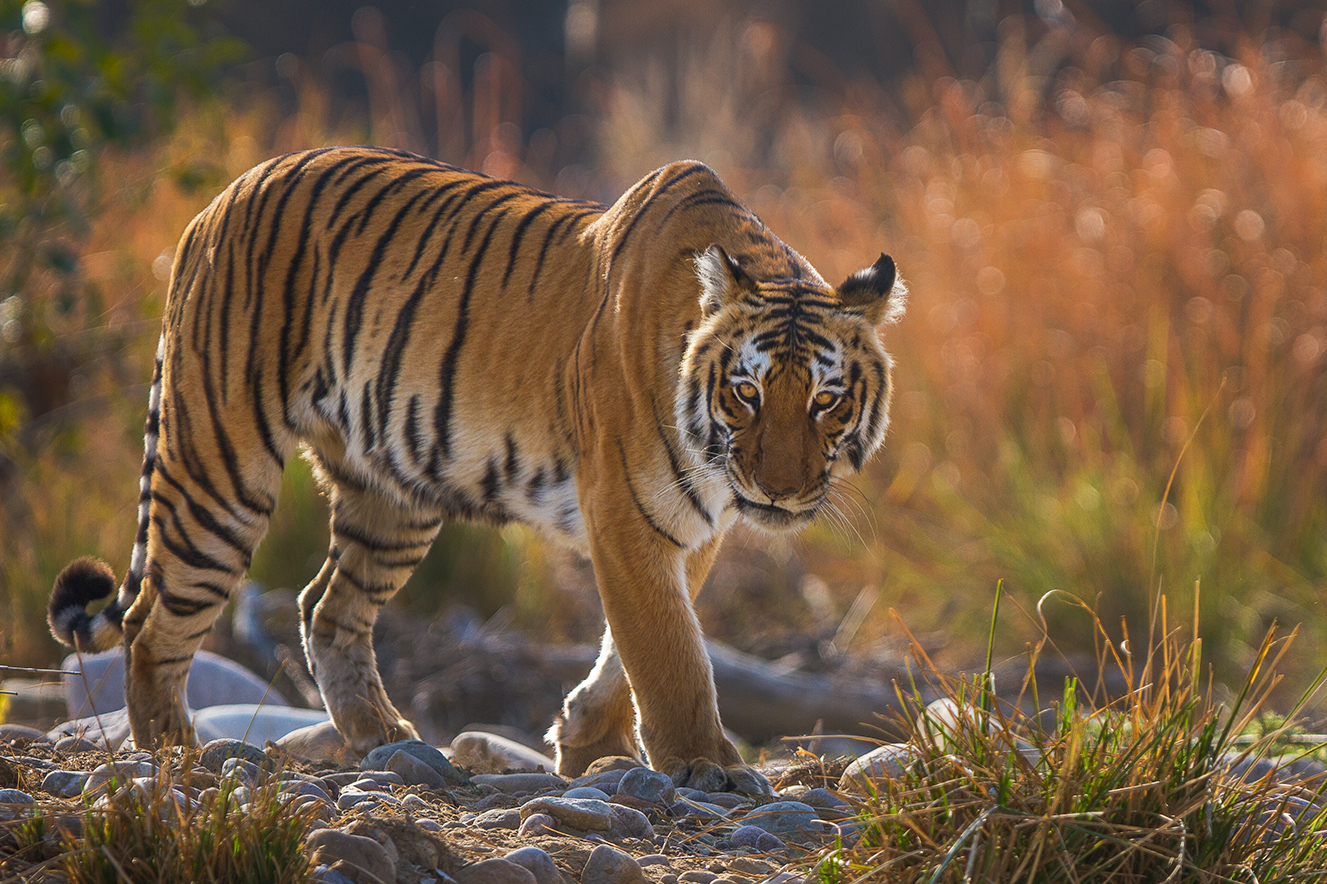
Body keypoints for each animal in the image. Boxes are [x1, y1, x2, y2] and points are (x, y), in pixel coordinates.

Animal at [47, 146, 905, 793]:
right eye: (745, 392)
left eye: (826, 400)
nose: (779, 491)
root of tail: (218, 200)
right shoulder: (626, 513)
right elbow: (668, 652)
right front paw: (704, 764)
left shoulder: (684, 529)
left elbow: (637, 645)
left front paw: (588, 743)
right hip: (220, 469)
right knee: (151, 621)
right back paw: (173, 757)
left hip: (391, 498)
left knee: (326, 605)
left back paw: (382, 735)